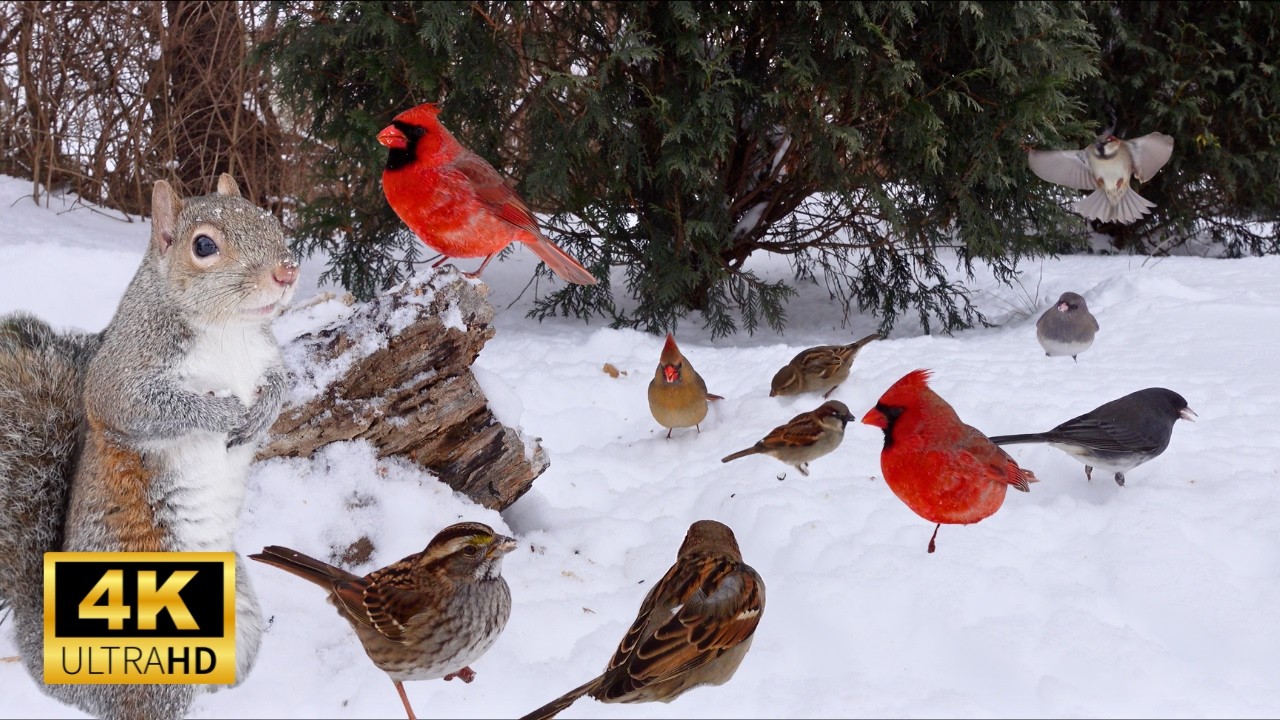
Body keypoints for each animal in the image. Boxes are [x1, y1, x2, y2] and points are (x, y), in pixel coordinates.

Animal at [0, 174, 299, 720]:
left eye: (266, 217)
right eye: (204, 246)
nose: (286, 271)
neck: (231, 333)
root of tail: (59, 670)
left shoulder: (268, 358)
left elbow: (282, 382)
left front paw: (262, 412)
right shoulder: (122, 381)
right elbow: (154, 407)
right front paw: (224, 414)